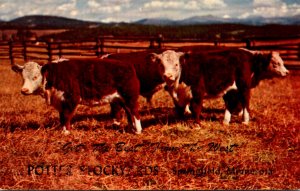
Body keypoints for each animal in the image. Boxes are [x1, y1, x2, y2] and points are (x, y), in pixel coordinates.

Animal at [12, 58, 142, 134]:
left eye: (35, 76)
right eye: (23, 77)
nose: (24, 90)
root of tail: (128, 65)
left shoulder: (71, 98)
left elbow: (66, 116)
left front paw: (65, 132)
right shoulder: (60, 101)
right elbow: (62, 117)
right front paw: (64, 130)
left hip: (130, 96)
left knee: (134, 112)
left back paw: (138, 131)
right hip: (121, 99)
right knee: (129, 112)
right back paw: (131, 129)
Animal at [152, 48, 288, 124]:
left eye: (176, 64)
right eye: (161, 64)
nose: (168, 76)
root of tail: (244, 54)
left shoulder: (198, 91)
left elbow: (196, 107)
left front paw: (197, 124)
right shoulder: (176, 95)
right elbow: (180, 109)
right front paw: (181, 122)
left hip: (243, 86)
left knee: (245, 101)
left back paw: (245, 120)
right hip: (232, 88)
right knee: (230, 103)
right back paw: (226, 121)